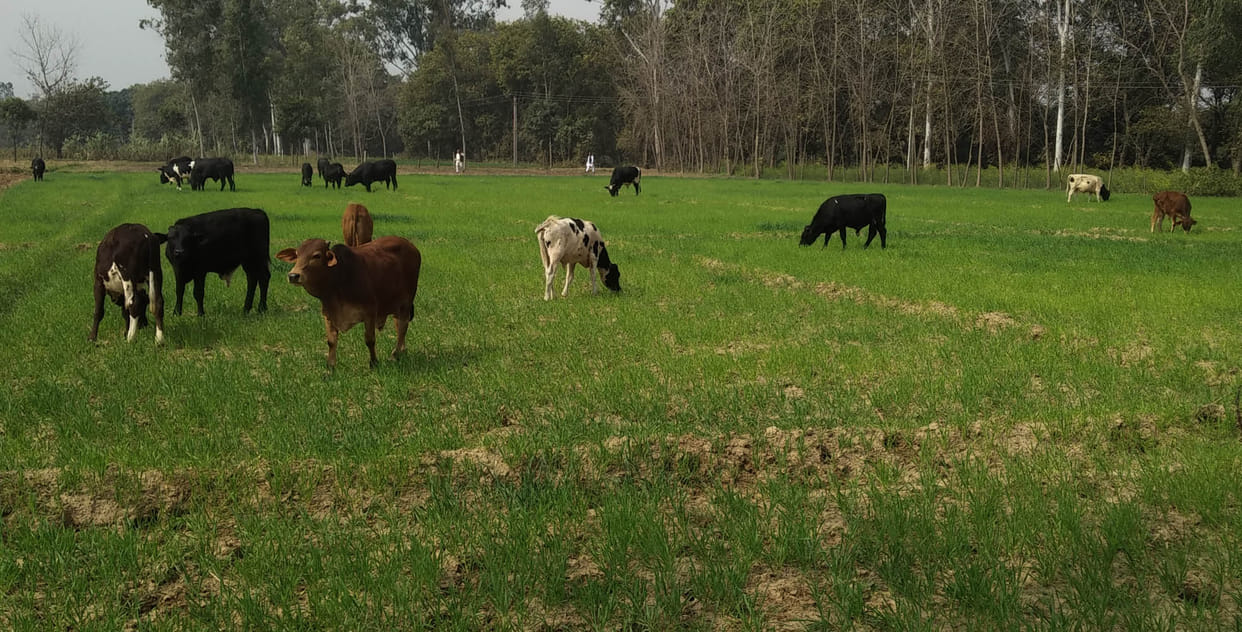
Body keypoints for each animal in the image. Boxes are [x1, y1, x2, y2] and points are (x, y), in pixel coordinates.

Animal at [276, 236, 422, 369]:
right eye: (297, 255)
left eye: (316, 255)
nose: (293, 276)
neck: (338, 278)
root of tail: (411, 246)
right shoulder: (328, 314)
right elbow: (331, 341)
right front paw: (330, 368)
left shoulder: (370, 312)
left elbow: (370, 340)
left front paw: (374, 363)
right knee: (399, 324)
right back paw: (401, 351)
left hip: (406, 301)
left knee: (402, 327)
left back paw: (395, 354)